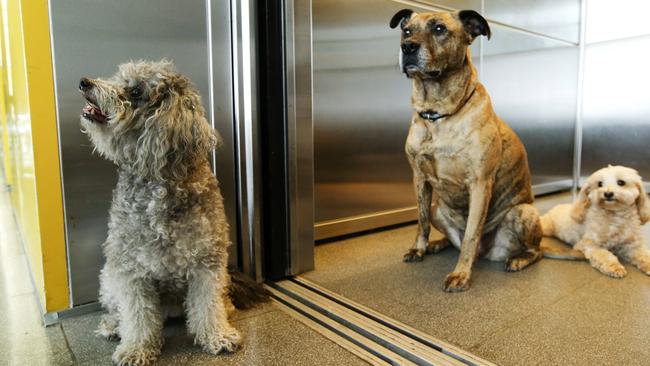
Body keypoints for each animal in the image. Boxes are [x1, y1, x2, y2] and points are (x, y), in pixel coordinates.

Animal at [390, 10, 540, 294]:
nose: (407, 47)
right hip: (438, 209)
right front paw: (419, 249)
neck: (436, 115)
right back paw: (437, 244)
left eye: (439, 29)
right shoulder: (419, 179)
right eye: (406, 31)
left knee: (538, 250)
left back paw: (518, 259)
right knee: (450, 237)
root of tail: (487, 253)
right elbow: (420, 220)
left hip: (523, 213)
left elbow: (471, 234)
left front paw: (461, 274)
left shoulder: (480, 184)